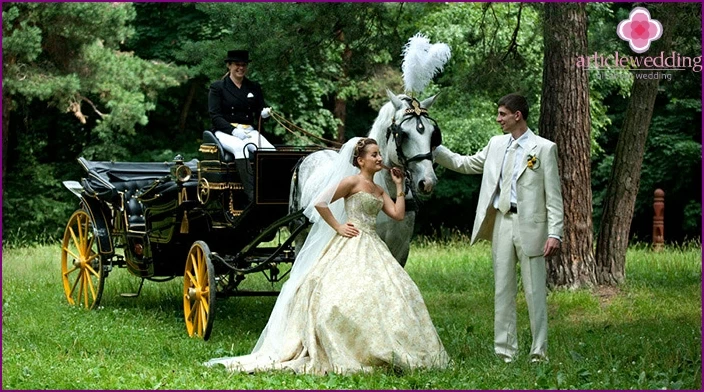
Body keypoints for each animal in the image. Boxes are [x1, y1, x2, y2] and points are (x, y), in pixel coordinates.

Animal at [288, 89, 442, 266]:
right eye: (403, 134)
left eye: (433, 134)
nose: (427, 181)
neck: (390, 193)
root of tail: (313, 154)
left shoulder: (402, 248)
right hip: (301, 234)